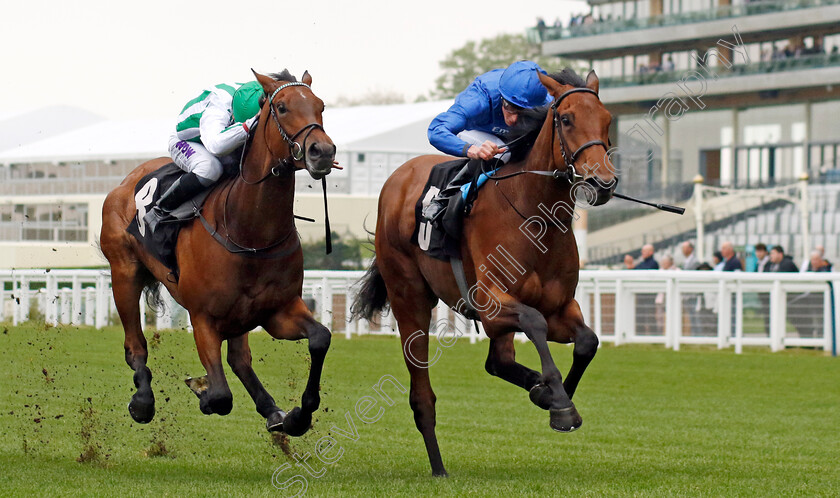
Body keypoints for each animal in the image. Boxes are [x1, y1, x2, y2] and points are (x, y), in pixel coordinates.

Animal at [98, 70, 334, 436]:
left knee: (239, 359)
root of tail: (125, 182)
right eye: (281, 107)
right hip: (124, 273)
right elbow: (222, 396)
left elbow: (320, 337)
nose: (322, 151)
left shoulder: (277, 311)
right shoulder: (203, 318)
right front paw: (204, 392)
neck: (249, 232)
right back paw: (143, 401)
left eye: (321, 106)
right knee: (135, 345)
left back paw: (272, 410)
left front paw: (298, 415)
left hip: (240, 315)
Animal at [352, 69, 620, 474]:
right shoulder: (491, 303)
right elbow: (534, 323)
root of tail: (397, 178)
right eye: (566, 118)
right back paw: (438, 467)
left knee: (498, 361)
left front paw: (552, 395)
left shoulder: (560, 307)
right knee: (422, 393)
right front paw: (558, 403)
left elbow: (588, 341)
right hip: (409, 298)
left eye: (606, 120)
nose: (601, 182)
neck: (535, 218)